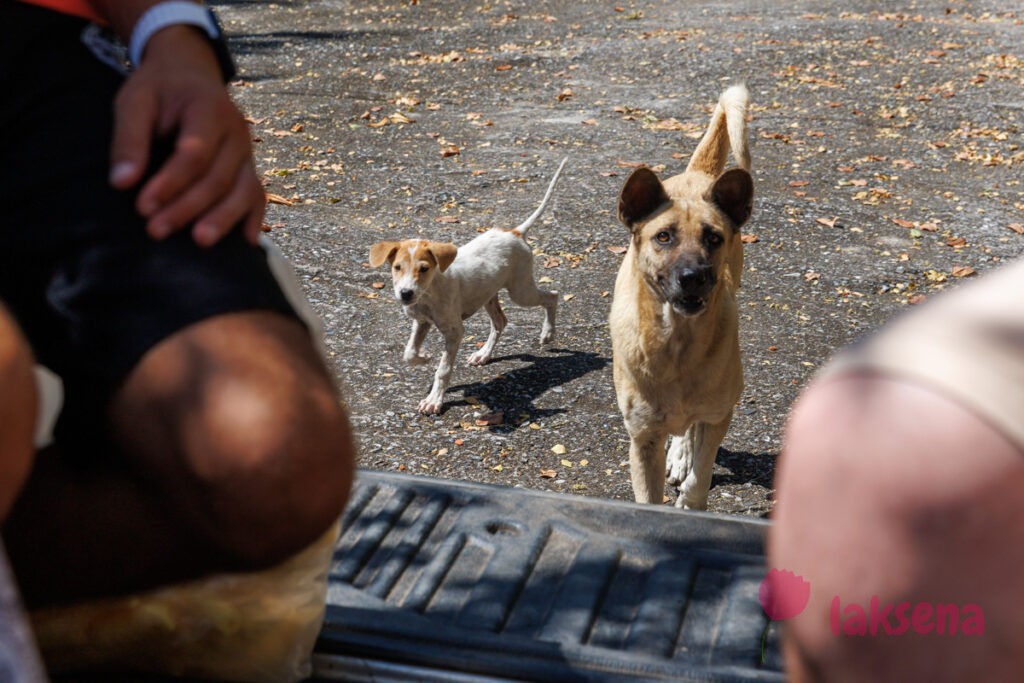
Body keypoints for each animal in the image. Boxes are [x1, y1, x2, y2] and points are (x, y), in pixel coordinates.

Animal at [370, 157, 569, 413]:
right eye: (397, 267)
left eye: (423, 269)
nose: (405, 294)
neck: (430, 293)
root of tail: (515, 232)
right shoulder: (422, 321)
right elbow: (409, 353)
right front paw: (424, 357)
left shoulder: (455, 332)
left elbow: (443, 369)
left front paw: (434, 400)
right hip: (489, 294)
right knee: (500, 322)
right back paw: (483, 354)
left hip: (520, 290)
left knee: (552, 296)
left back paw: (547, 334)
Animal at [606, 85, 753, 509]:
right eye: (663, 236)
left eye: (714, 238)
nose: (694, 278)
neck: (677, 344)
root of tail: (696, 175)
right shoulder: (642, 440)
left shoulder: (719, 415)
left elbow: (701, 474)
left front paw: (690, 502)